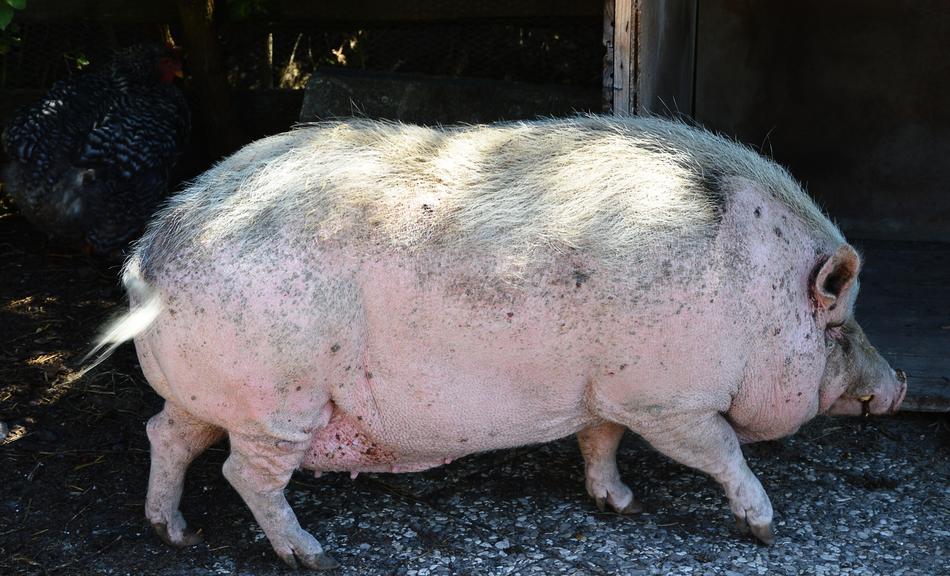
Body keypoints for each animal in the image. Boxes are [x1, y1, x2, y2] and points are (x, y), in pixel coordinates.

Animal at [85, 115, 906, 569]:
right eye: (838, 324)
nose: (898, 385)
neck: (751, 296)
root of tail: (148, 256)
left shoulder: (605, 390)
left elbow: (598, 442)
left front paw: (620, 507)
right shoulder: (667, 398)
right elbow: (723, 453)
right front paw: (765, 530)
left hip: (210, 393)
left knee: (166, 435)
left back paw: (175, 537)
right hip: (279, 401)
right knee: (244, 475)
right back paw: (313, 558)